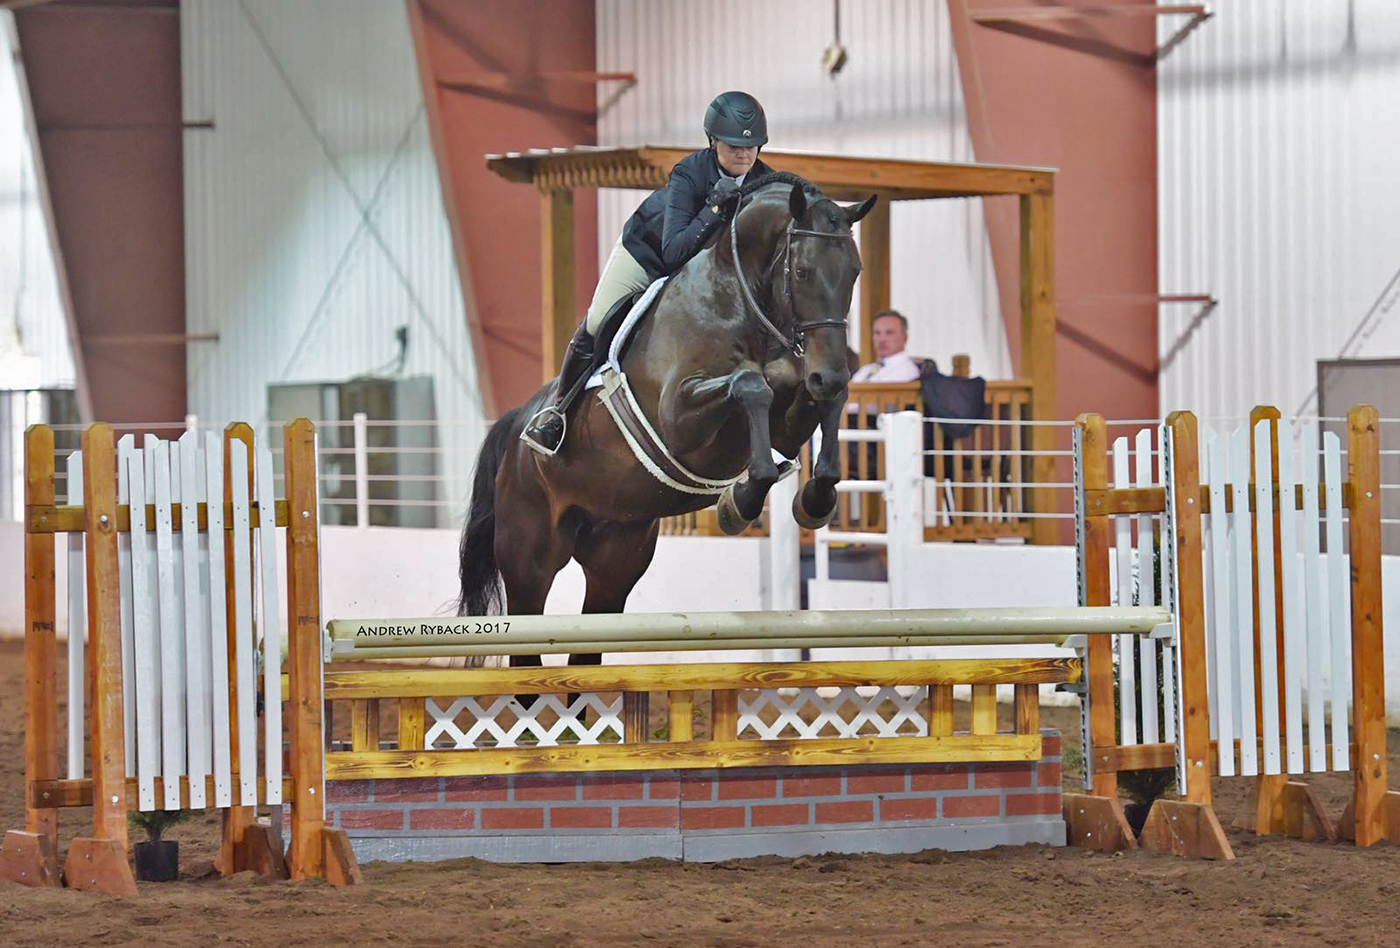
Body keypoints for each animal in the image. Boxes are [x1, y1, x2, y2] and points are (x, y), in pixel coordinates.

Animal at [456, 173, 875, 671]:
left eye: (854, 272)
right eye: (802, 272)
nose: (830, 373)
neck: (739, 300)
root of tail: (515, 428)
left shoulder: (792, 411)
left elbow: (814, 407)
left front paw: (815, 498)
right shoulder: (680, 420)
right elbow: (751, 385)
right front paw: (742, 500)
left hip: (615, 559)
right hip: (530, 560)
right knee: (526, 645)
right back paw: (548, 430)